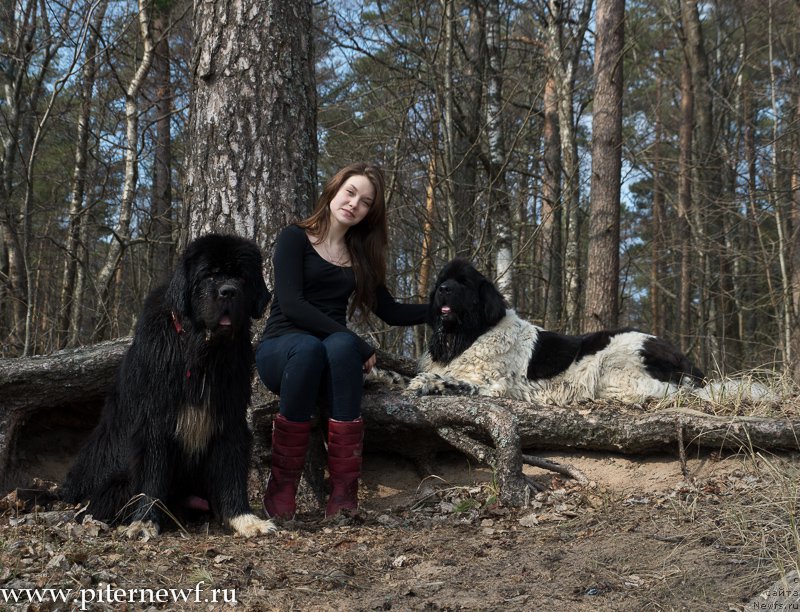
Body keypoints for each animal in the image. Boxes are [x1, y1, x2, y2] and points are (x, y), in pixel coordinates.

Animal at [61, 235, 278, 540]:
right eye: (209, 275)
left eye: (241, 276)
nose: (228, 292)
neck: (202, 353)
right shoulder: (155, 420)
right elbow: (153, 475)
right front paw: (144, 522)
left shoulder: (229, 414)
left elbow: (232, 468)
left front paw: (244, 519)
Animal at [406, 258, 708, 406]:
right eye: (441, 281)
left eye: (463, 283)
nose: (444, 289)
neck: (467, 337)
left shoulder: (496, 384)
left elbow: (457, 382)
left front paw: (428, 383)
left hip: (615, 362)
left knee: (666, 391)